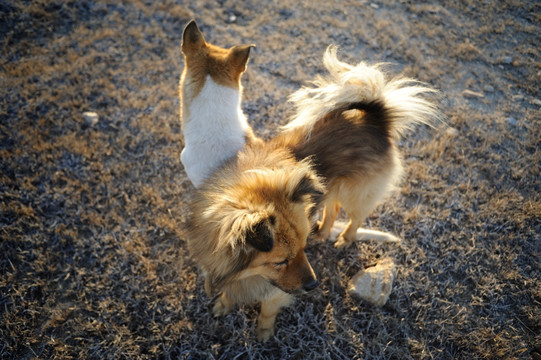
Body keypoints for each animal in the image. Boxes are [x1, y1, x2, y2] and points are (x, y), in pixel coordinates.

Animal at [189, 141, 324, 340]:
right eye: (280, 262)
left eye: (304, 248)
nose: (314, 284)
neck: (246, 274)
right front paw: (224, 304)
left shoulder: (274, 290)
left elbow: (268, 309)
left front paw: (264, 332)